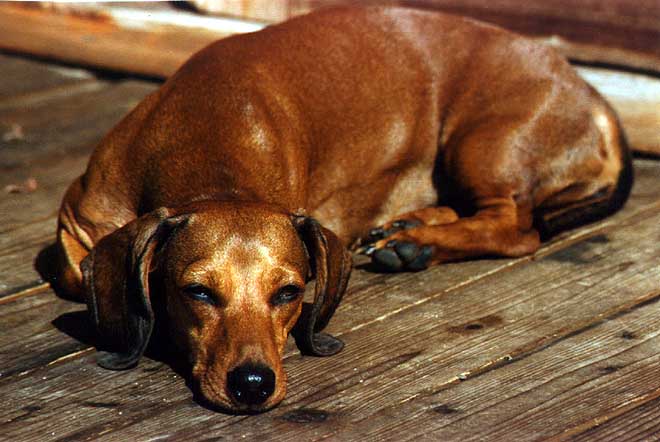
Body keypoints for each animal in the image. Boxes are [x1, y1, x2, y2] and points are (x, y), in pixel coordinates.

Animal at [54, 5, 632, 412]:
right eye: (197, 292)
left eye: (289, 292)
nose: (253, 385)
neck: (205, 133)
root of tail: (599, 103)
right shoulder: (75, 225)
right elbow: (77, 275)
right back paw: (407, 229)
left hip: (482, 143)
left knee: (516, 226)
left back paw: (416, 242)